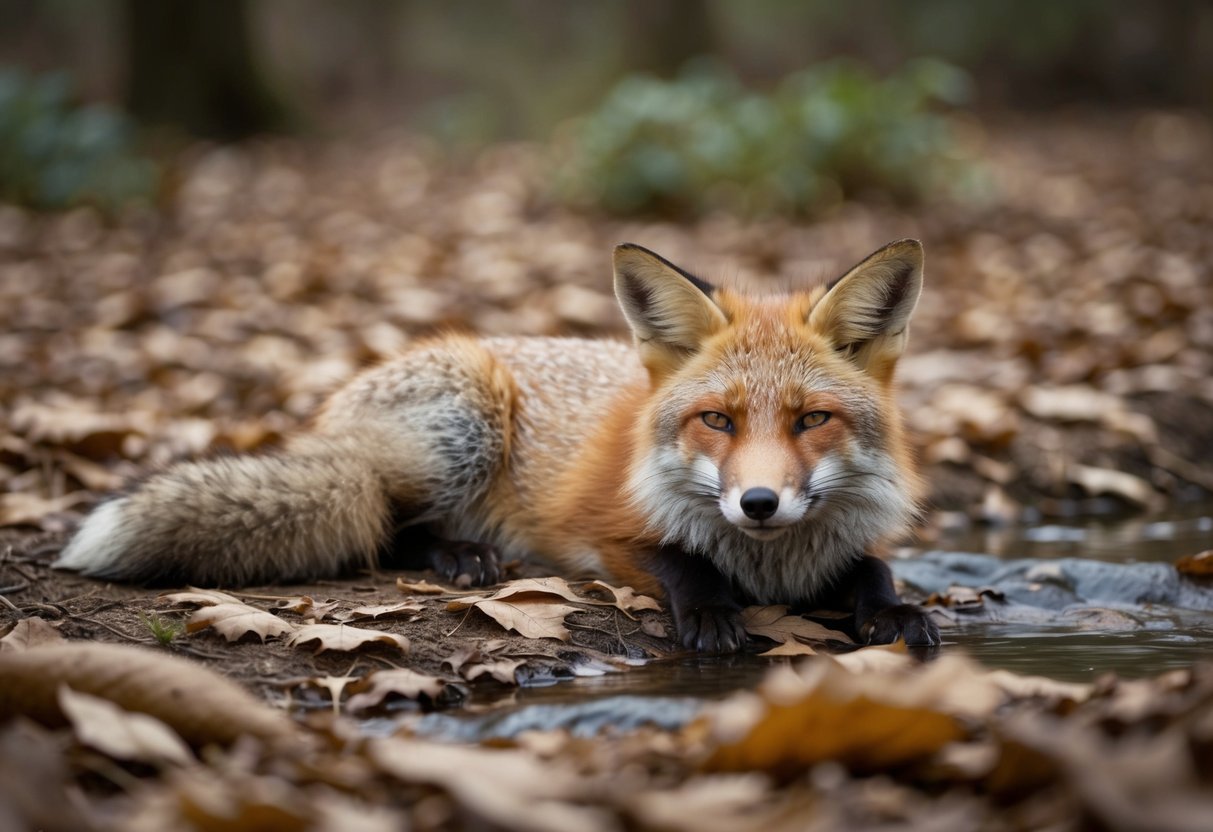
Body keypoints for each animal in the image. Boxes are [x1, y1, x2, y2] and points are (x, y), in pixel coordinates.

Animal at [55, 239, 939, 651]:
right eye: (716, 422)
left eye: (809, 420)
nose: (757, 503)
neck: (769, 563)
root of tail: (333, 412)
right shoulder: (599, 535)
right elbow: (682, 561)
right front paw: (714, 610)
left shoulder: (835, 545)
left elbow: (869, 567)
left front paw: (895, 611)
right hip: (467, 423)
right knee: (388, 528)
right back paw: (464, 557)